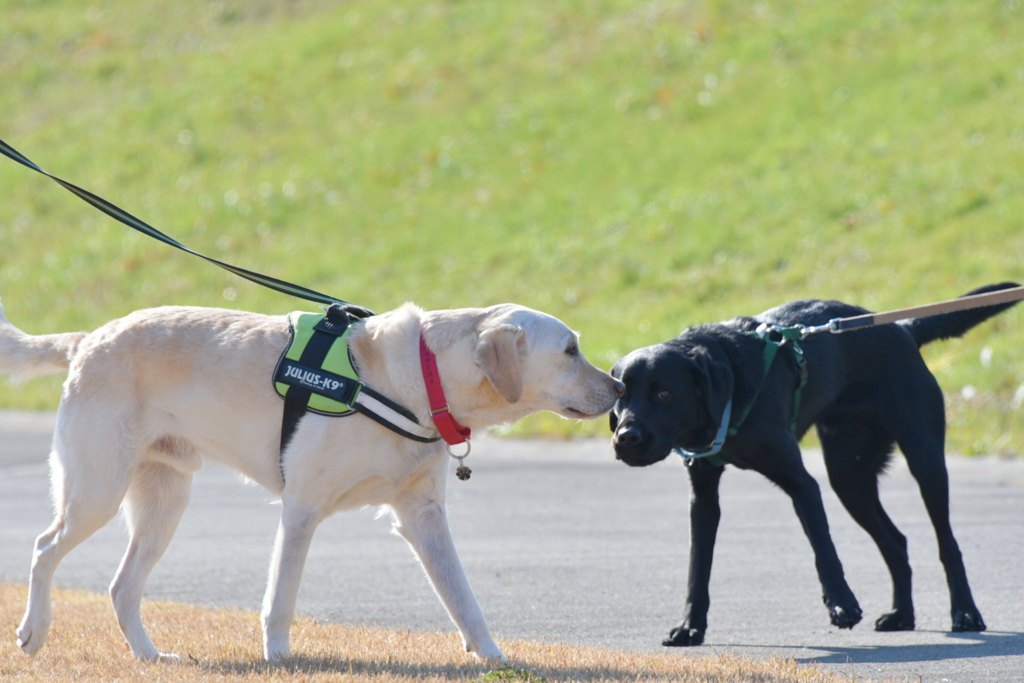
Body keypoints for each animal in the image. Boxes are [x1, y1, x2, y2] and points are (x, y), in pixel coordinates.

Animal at [0, 301, 622, 663]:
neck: (416, 381)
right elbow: (280, 598)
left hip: (163, 503)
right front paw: (278, 656)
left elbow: (463, 597)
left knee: (121, 586)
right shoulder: (300, 509)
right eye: (570, 350)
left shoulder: (423, 517)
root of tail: (89, 337)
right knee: (43, 548)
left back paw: (150, 656)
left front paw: (492, 656)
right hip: (96, 491)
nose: (619, 387)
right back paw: (33, 631)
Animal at [606, 282, 1015, 647]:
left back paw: (965, 613)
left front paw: (842, 605)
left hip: (924, 459)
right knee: (896, 542)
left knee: (947, 543)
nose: (626, 437)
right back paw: (902, 615)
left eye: (664, 393)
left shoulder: (802, 484)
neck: (730, 383)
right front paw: (691, 628)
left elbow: (824, 550)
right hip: (849, 477)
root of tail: (902, 329)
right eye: (621, 395)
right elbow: (698, 569)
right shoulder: (703, 499)